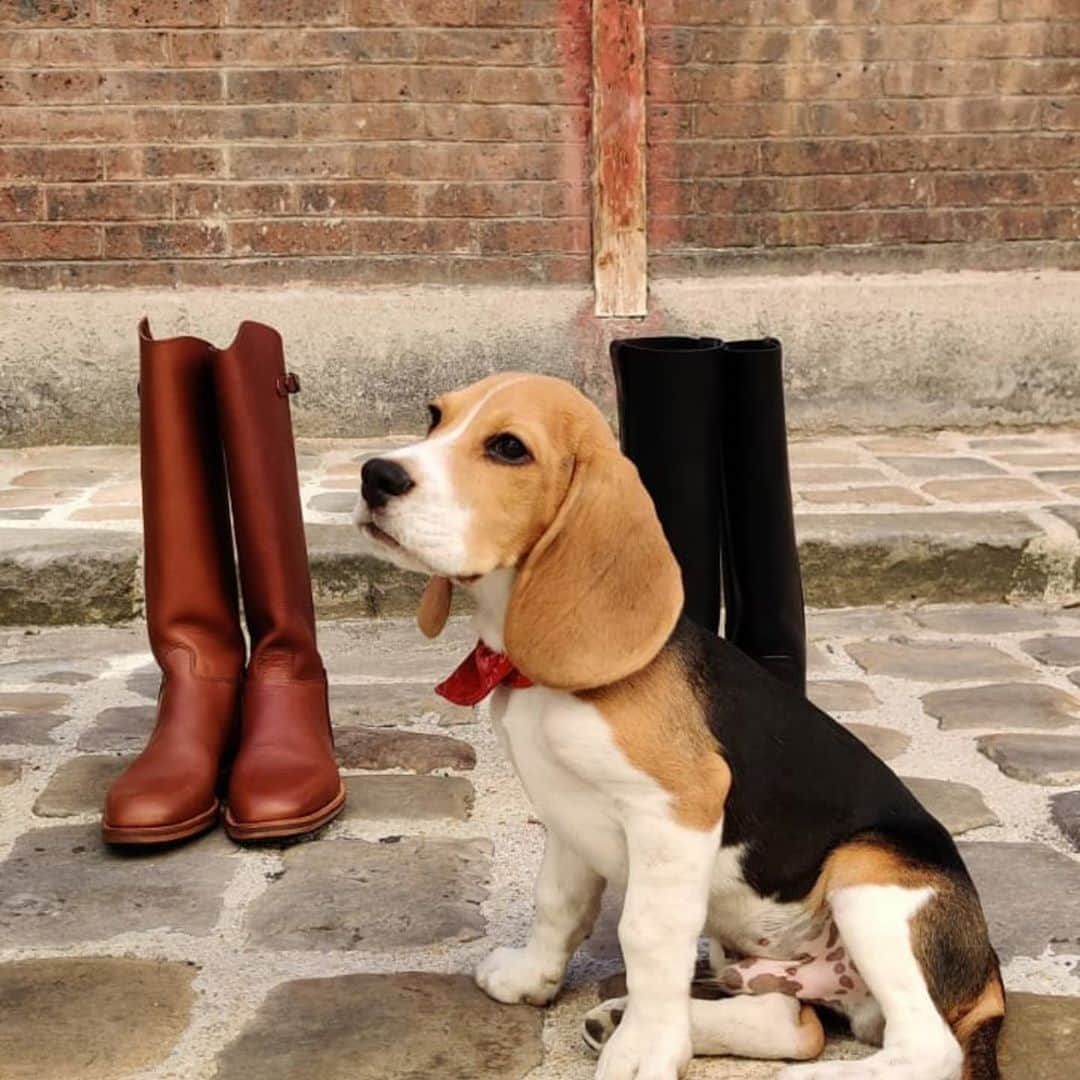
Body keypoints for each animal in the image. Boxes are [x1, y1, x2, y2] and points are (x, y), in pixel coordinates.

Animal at [354, 375, 1002, 1080]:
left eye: (508, 448)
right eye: (434, 417)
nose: (374, 475)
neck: (532, 675)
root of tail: (989, 969)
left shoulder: (677, 809)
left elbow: (647, 935)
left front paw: (646, 1050)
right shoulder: (566, 812)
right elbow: (557, 904)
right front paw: (532, 978)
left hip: (870, 877)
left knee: (925, 1047)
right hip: (761, 962)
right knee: (793, 1022)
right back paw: (621, 1019)